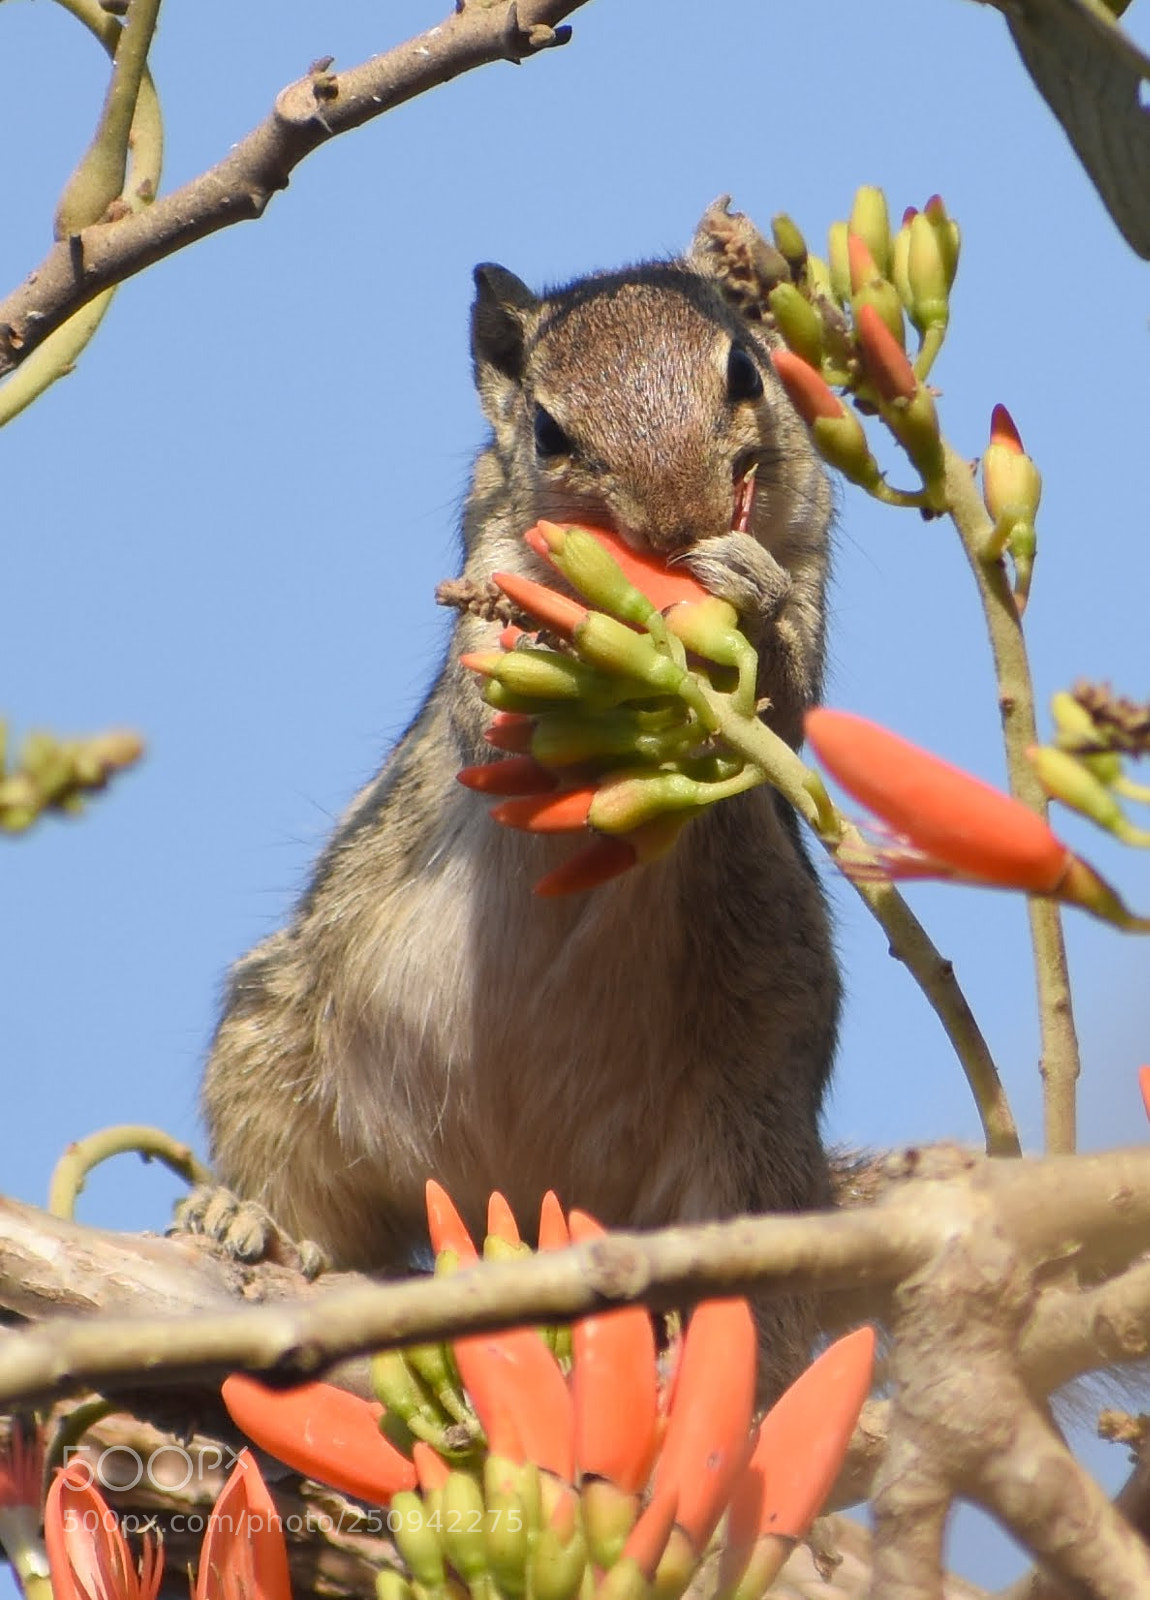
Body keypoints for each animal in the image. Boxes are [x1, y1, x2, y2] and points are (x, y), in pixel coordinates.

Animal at [194, 199, 840, 1401]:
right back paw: (241, 1219)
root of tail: (518, 1191)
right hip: (272, 1043)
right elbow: (481, 702)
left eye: (743, 367)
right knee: (317, 1207)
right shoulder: (483, 560)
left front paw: (749, 592)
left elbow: (789, 708)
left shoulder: (813, 560)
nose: (679, 526)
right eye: (547, 430)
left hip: (758, 1136)